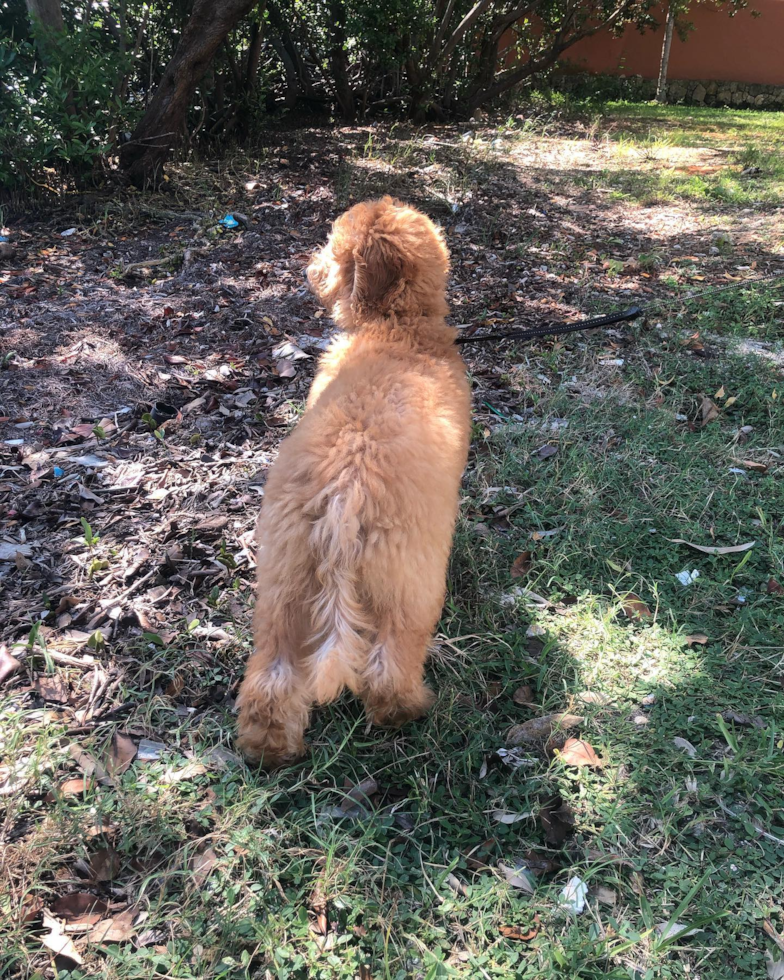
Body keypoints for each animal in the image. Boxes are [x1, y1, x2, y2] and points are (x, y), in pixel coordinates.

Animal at [236, 197, 472, 764]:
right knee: (387, 669)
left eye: (332, 248)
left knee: (272, 679)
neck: (396, 328)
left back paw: (269, 749)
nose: (307, 267)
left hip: (283, 586)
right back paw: (408, 712)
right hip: (409, 589)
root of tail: (344, 496)